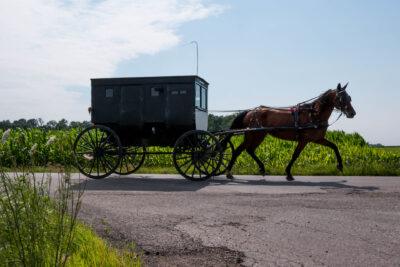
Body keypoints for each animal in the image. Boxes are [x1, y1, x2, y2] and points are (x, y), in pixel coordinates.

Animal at [222, 82, 356, 181]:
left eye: (349, 97)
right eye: (341, 98)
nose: (352, 113)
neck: (314, 114)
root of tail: (250, 111)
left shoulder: (317, 139)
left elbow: (334, 146)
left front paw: (340, 166)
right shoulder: (304, 140)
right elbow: (295, 155)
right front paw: (288, 173)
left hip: (258, 135)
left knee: (247, 150)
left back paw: (257, 169)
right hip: (254, 134)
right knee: (242, 150)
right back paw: (231, 172)